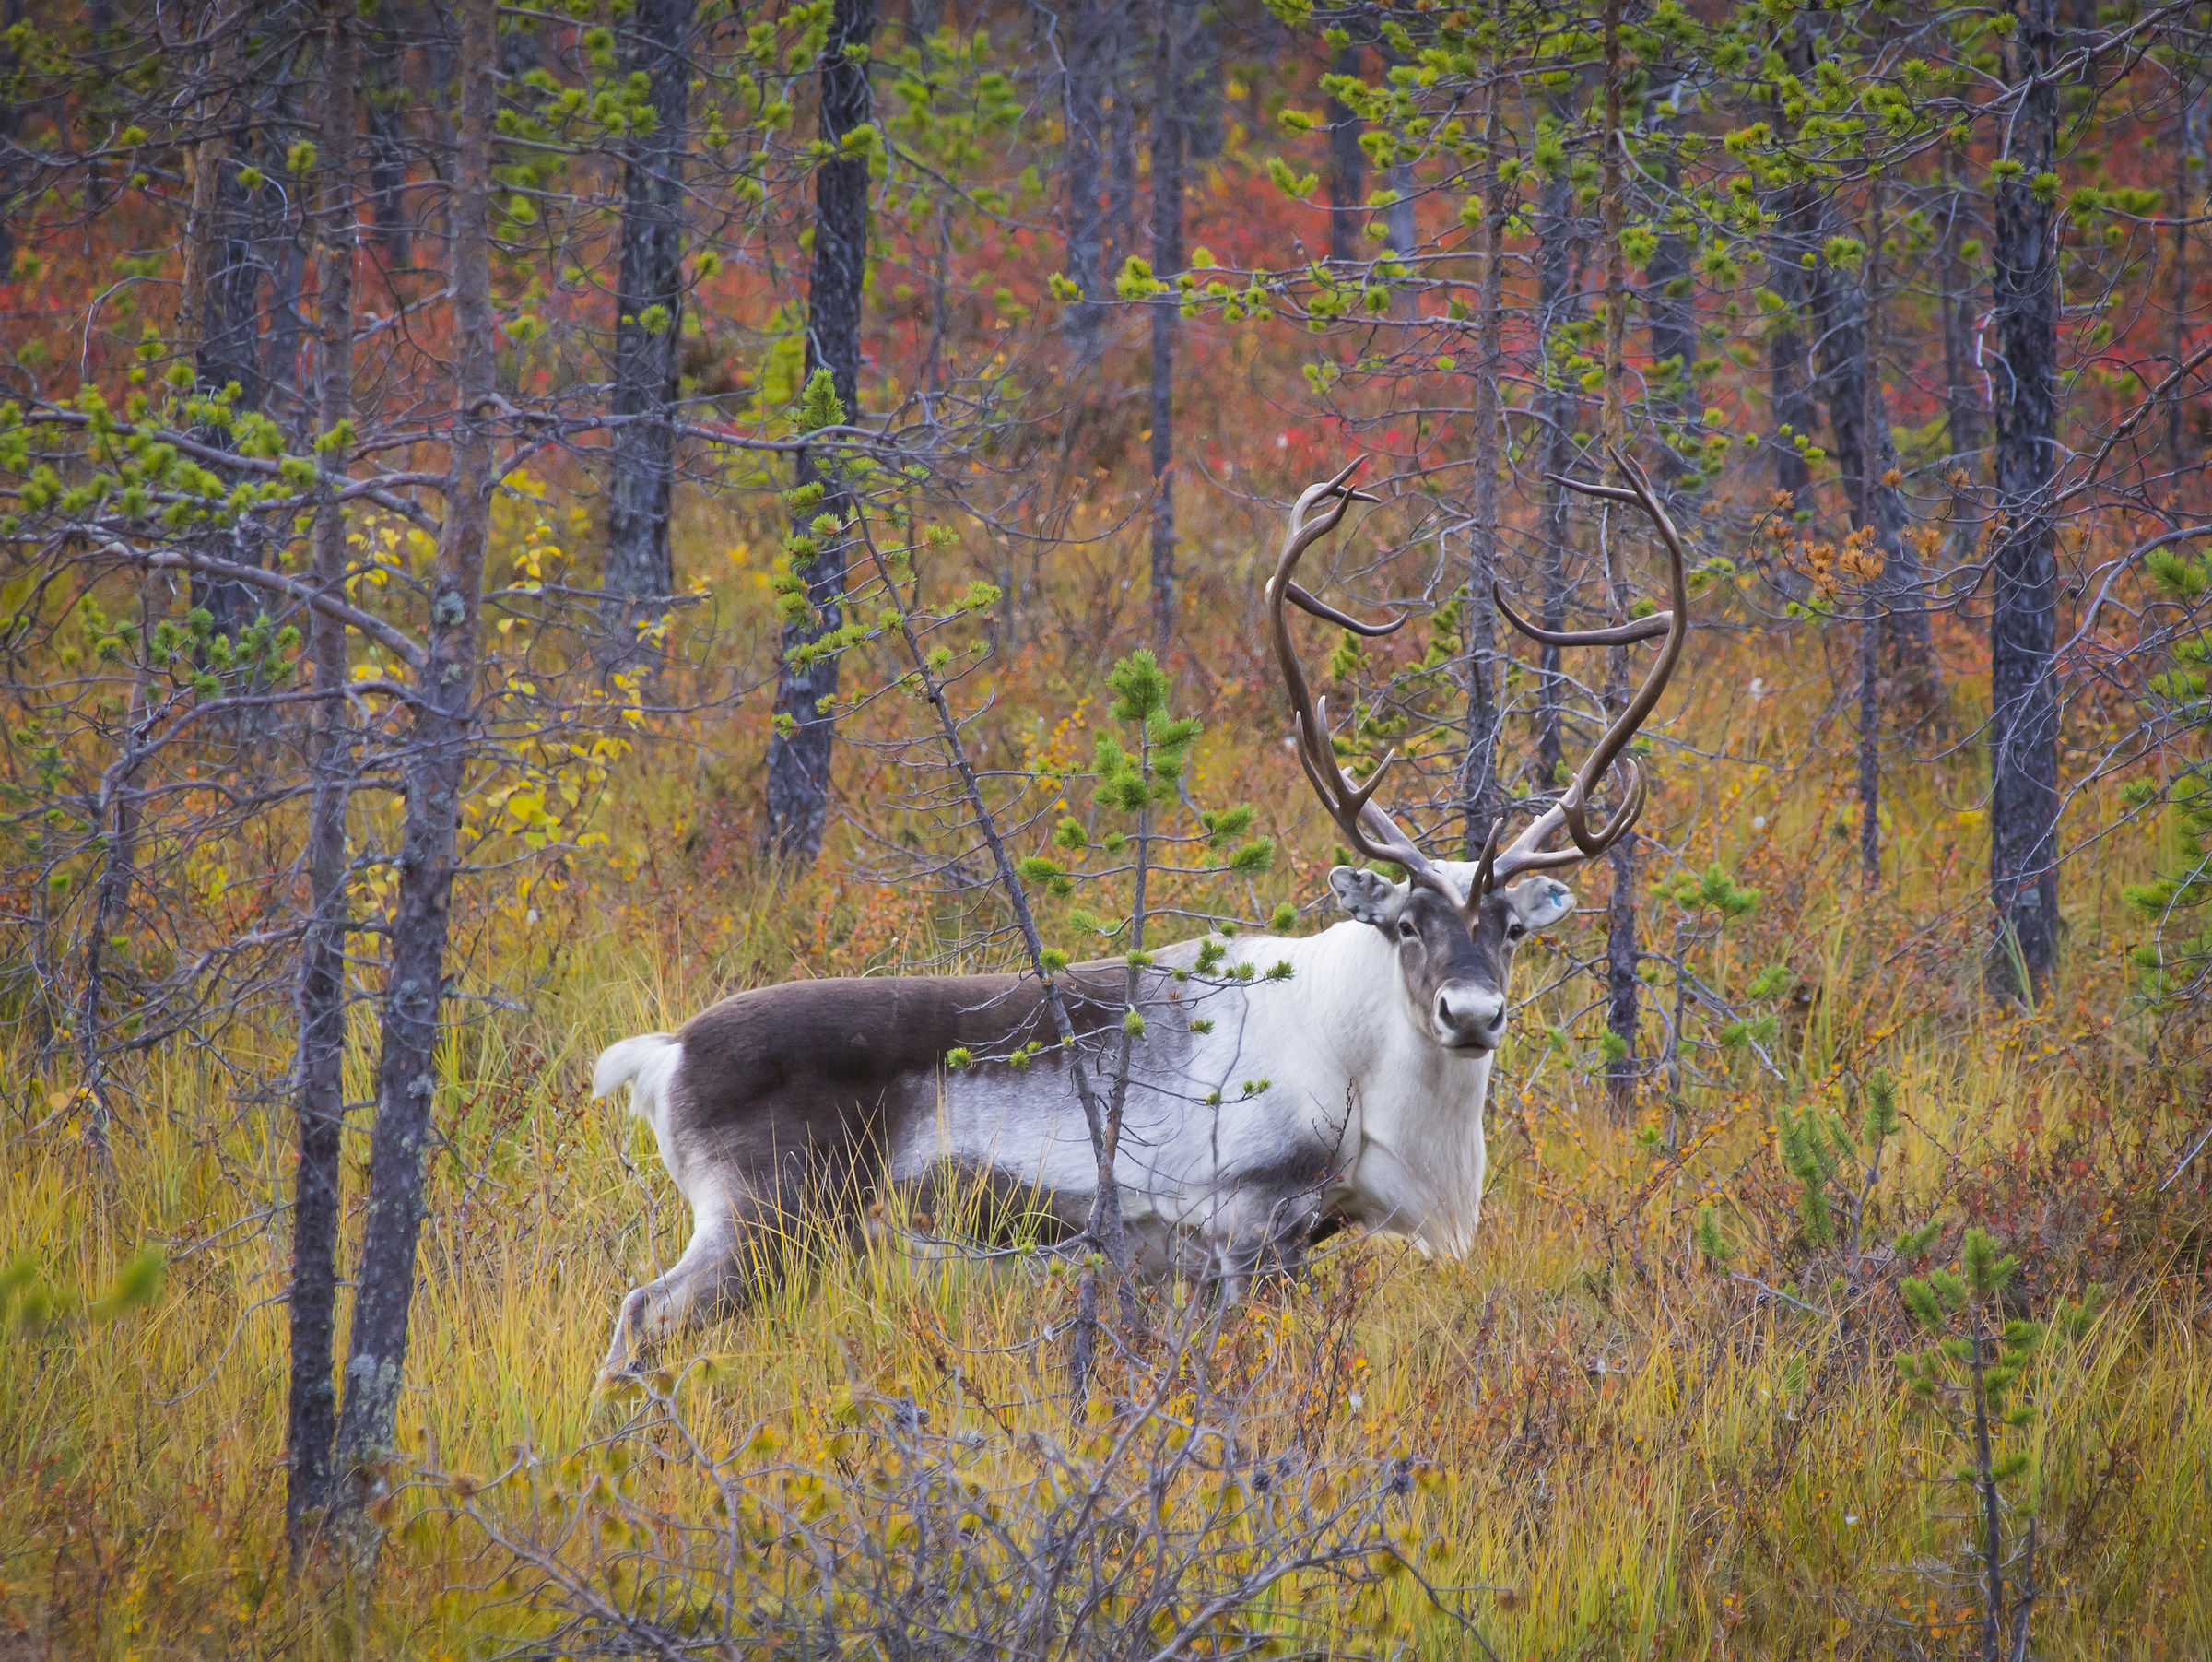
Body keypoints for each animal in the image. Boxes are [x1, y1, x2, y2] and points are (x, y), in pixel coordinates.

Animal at [589, 453, 1691, 1380]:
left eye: (1514, 929)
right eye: (1408, 923)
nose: (1471, 1014)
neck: (1352, 1063)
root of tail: (664, 1054)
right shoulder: (1249, 1226)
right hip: (768, 1222)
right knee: (642, 1310)